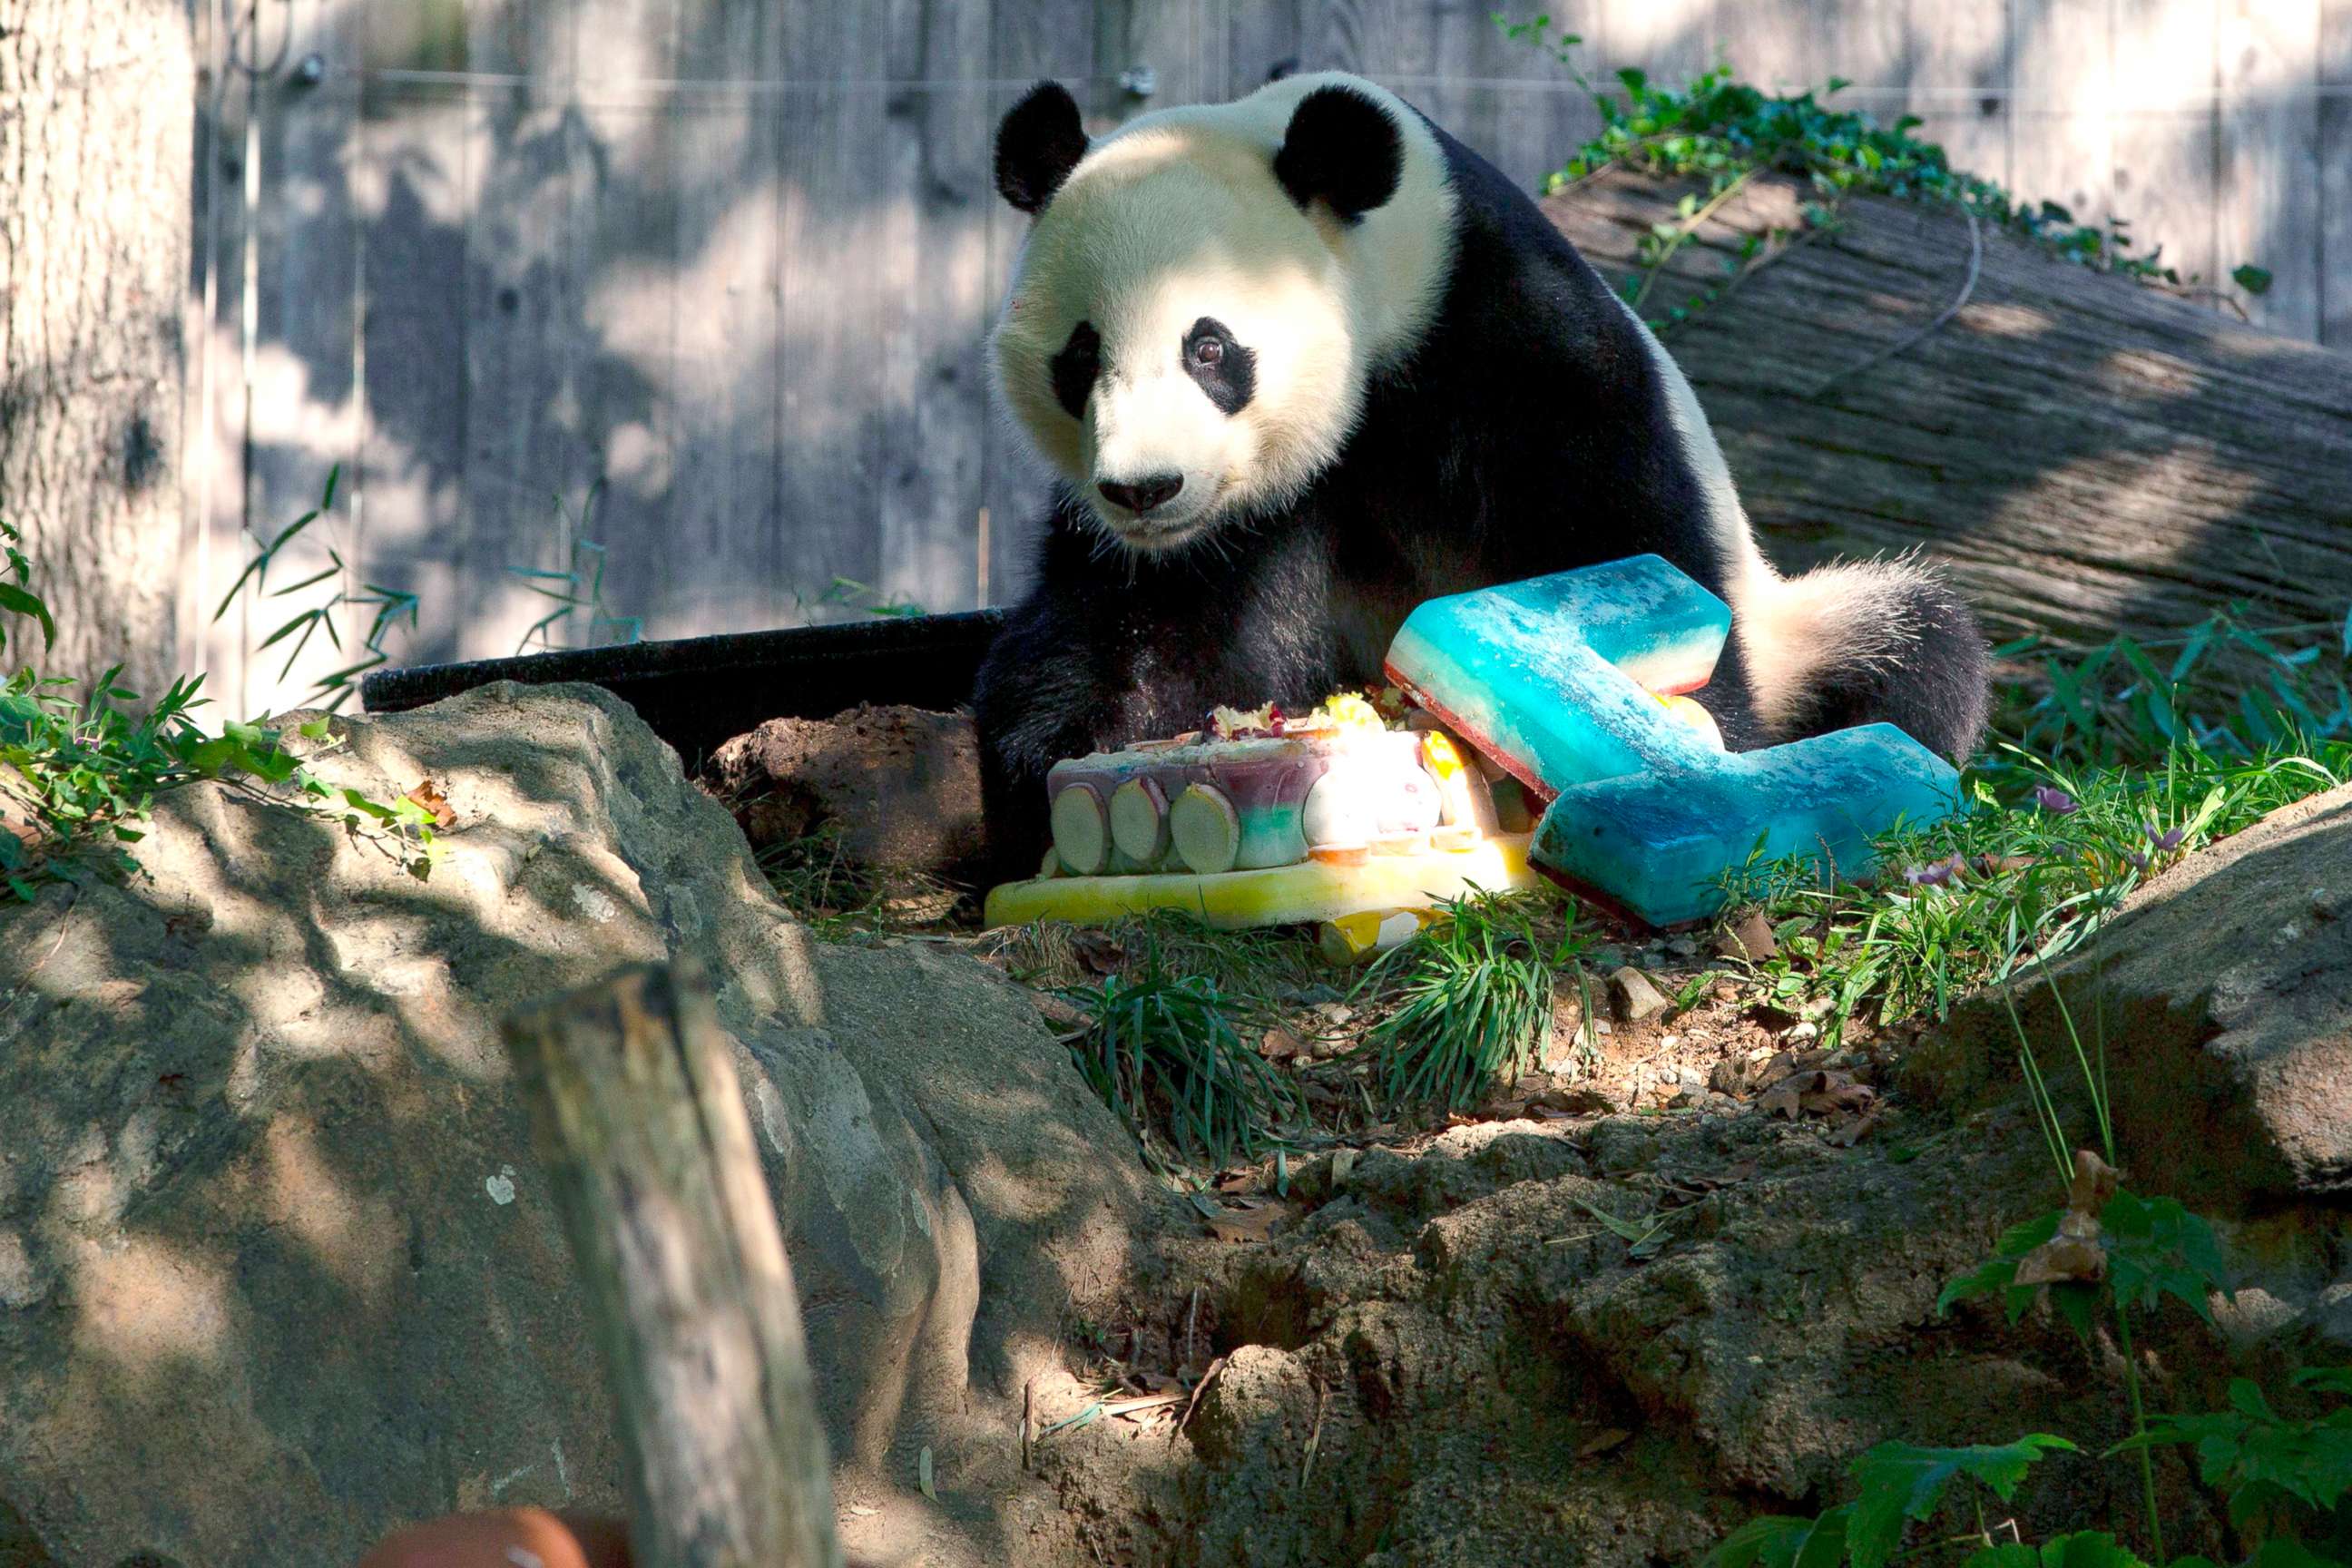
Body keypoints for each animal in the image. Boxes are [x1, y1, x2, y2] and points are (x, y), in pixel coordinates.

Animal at [968, 73, 1984, 884]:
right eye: (1079, 356)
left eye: (1209, 348)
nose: (1144, 489)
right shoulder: (1227, 525)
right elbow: (1147, 626)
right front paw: (1078, 758)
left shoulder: (1508, 332)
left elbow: (1620, 541)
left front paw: (1684, 745)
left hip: (1797, 633)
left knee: (1914, 655)